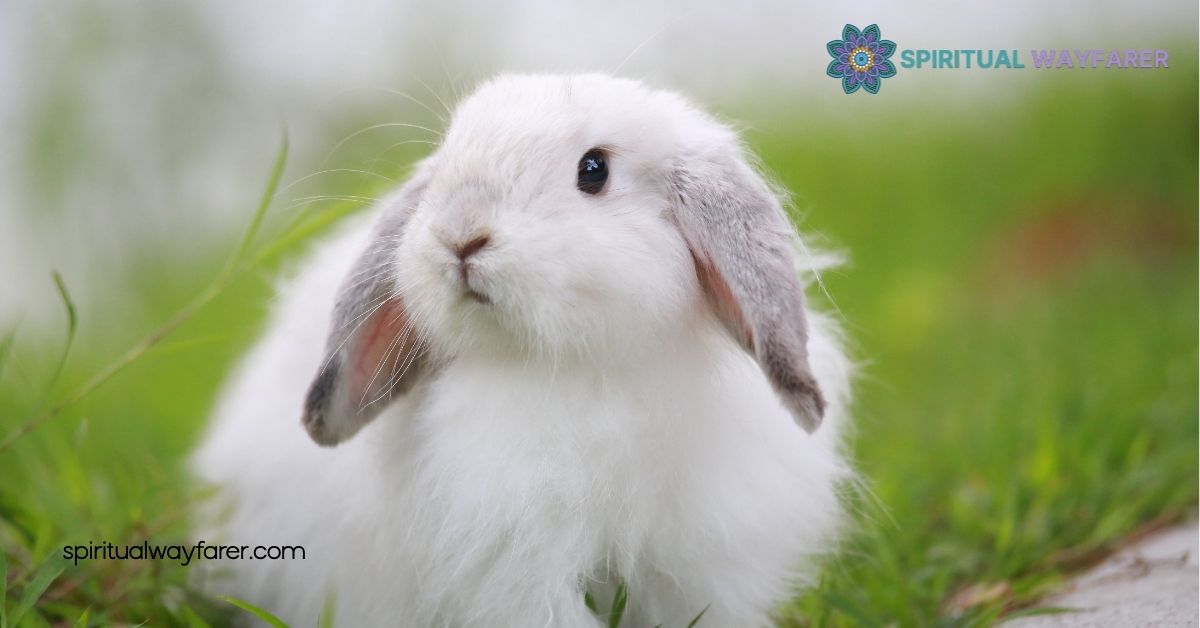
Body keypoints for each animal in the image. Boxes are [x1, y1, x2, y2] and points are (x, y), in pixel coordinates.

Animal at [191, 73, 854, 628]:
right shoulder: (517, 570)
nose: (460, 236)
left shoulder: (704, 567)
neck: (580, 368)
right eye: (447, 162)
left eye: (594, 169)